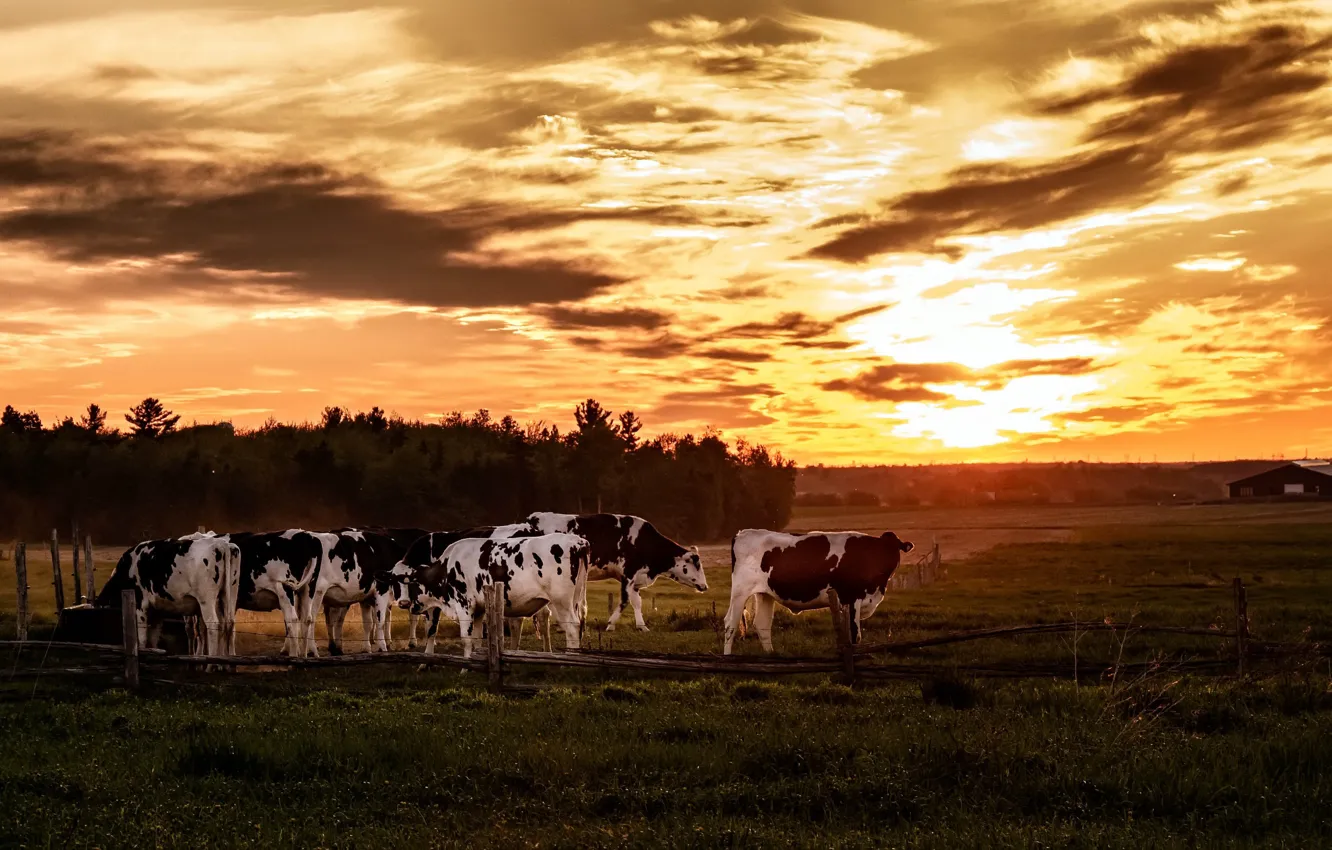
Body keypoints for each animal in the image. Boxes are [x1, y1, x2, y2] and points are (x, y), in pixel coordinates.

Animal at [97, 532, 242, 660]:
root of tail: (222, 544)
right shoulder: (157, 612)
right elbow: (153, 639)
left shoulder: (140, 606)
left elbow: (142, 639)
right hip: (230, 595)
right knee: (229, 624)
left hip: (206, 599)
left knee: (213, 625)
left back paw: (211, 662)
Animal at [388, 535, 588, 663]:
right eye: (394, 583)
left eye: (408, 583)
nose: (405, 604)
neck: (448, 566)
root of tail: (579, 542)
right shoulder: (479, 610)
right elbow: (476, 640)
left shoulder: (464, 606)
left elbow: (466, 639)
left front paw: (465, 667)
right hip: (575, 599)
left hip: (561, 602)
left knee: (572, 628)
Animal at [503, 511, 708, 634]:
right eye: (697, 565)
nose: (705, 586)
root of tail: (531, 519)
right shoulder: (628, 575)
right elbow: (626, 602)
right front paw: (614, 625)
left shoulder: (634, 579)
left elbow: (637, 602)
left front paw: (640, 625)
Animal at [719, 532, 916, 660]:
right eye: (883, 550)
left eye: (897, 548)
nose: (889, 564)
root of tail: (742, 533)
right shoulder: (852, 597)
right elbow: (855, 635)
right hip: (740, 590)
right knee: (731, 624)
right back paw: (728, 658)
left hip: (764, 593)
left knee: (762, 624)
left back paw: (771, 656)